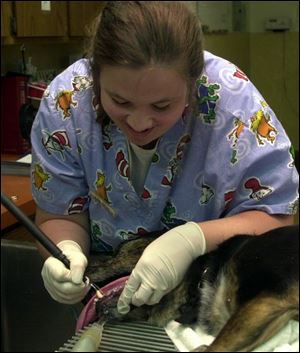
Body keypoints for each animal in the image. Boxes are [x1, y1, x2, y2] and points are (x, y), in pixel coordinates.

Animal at [85, 224, 298, 350]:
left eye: (118, 250)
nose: (85, 265)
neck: (204, 276)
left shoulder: (272, 298)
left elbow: (217, 346)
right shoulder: (270, 309)